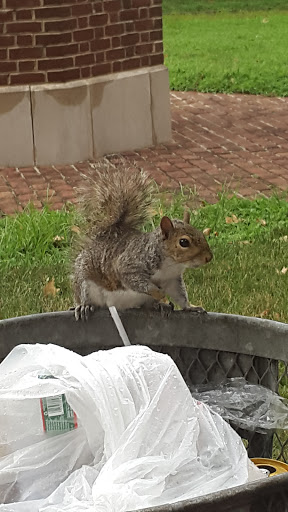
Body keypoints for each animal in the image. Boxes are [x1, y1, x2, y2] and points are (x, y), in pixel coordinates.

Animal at [71, 167, 212, 320]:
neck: (171, 264)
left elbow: (180, 296)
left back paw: (159, 306)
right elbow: (138, 282)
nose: (208, 258)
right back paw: (85, 306)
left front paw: (191, 307)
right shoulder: (129, 265)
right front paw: (159, 293)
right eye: (184, 242)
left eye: (201, 233)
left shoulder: (172, 280)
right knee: (85, 296)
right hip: (85, 285)